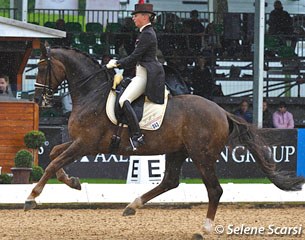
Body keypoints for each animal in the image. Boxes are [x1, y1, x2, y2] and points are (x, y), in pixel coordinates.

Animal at [25, 44, 304, 236]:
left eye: (42, 67)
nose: (38, 100)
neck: (92, 92)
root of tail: (221, 111)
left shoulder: (86, 143)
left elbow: (52, 162)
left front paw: (32, 197)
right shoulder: (81, 143)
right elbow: (54, 155)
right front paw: (73, 182)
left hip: (201, 155)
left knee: (214, 190)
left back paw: (204, 229)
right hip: (177, 150)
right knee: (170, 181)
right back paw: (132, 205)